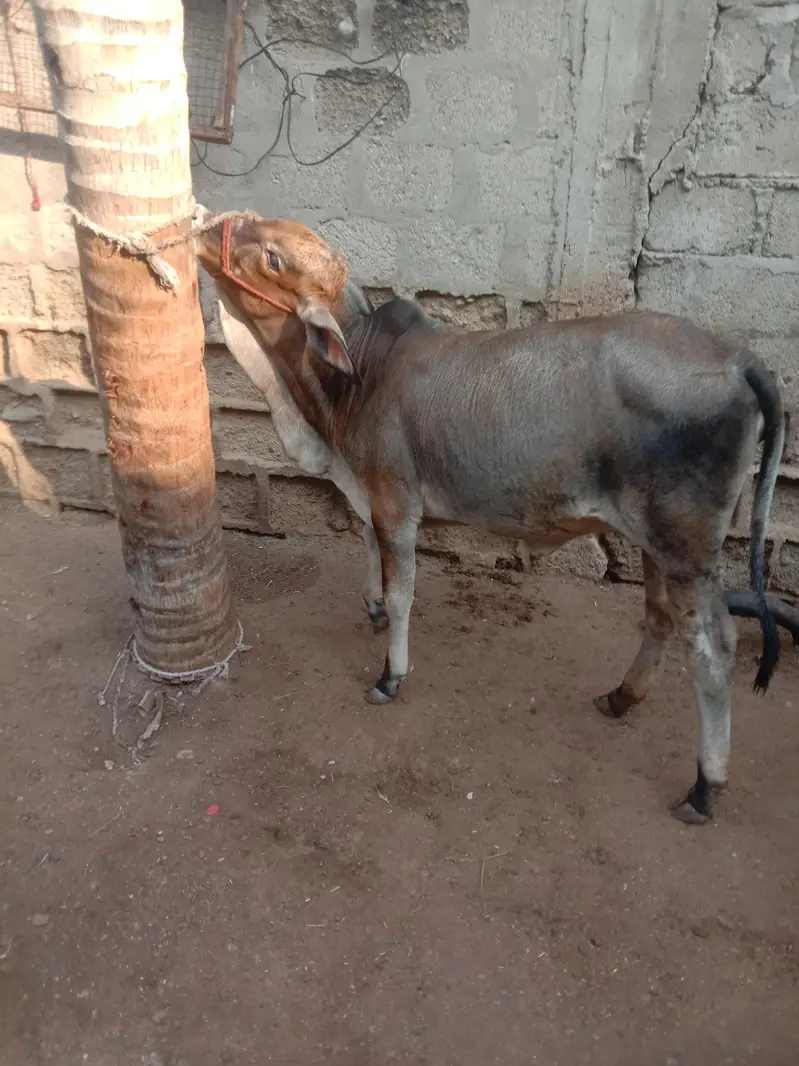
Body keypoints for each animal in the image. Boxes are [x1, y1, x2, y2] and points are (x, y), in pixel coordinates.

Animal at [193, 210, 784, 825]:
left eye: (272, 258)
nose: (208, 222)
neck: (359, 376)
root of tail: (739, 359)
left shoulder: (396, 503)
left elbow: (402, 593)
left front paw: (391, 673)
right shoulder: (371, 496)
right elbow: (370, 554)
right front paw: (372, 608)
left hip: (686, 546)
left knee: (714, 651)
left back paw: (704, 786)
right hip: (654, 543)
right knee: (660, 618)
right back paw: (622, 696)